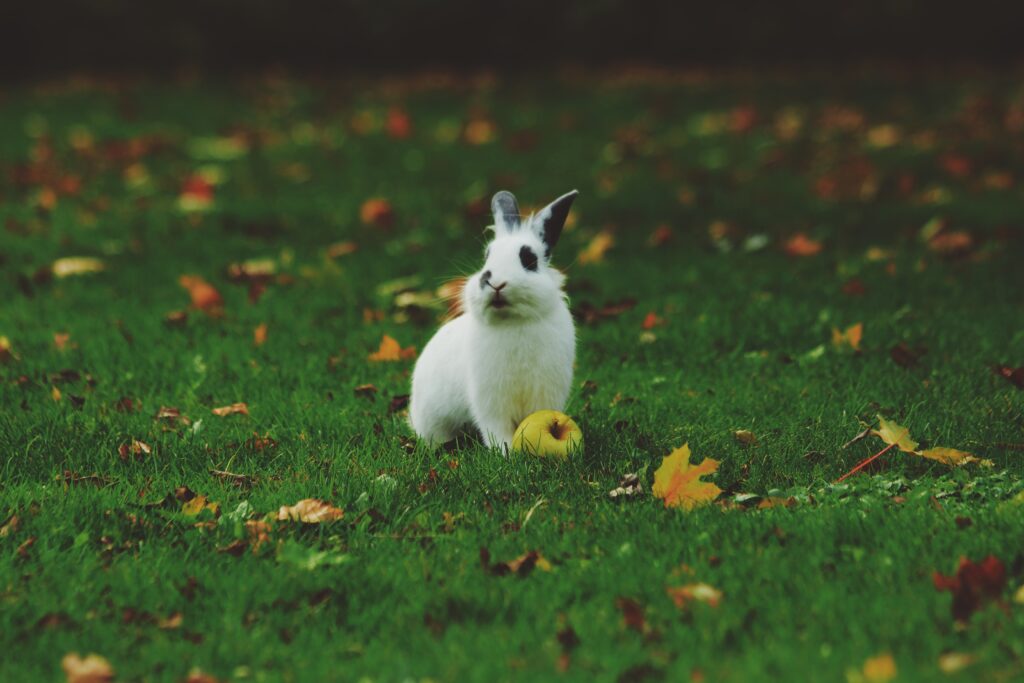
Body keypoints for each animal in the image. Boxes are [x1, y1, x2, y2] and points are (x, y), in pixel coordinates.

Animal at [410, 189, 578, 449]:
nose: (494, 282)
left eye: (529, 259)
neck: (514, 321)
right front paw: (506, 451)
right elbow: (496, 429)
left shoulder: (545, 394)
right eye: (487, 257)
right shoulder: (490, 402)